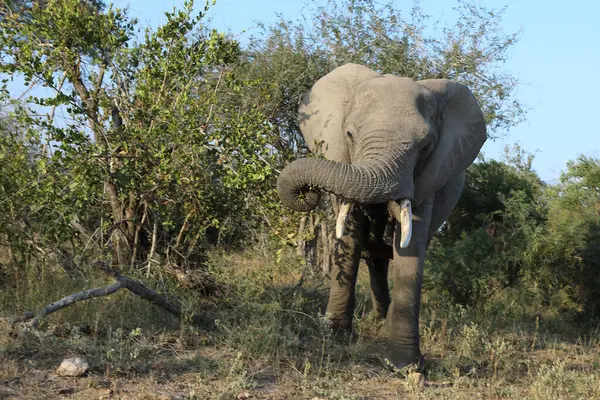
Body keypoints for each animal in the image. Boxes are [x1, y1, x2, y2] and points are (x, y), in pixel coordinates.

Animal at [276, 61, 488, 368]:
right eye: (349, 135)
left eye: (426, 146)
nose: (308, 192)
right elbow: (349, 239)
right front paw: (334, 336)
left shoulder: (428, 178)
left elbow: (410, 249)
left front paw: (404, 364)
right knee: (375, 260)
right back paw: (377, 318)